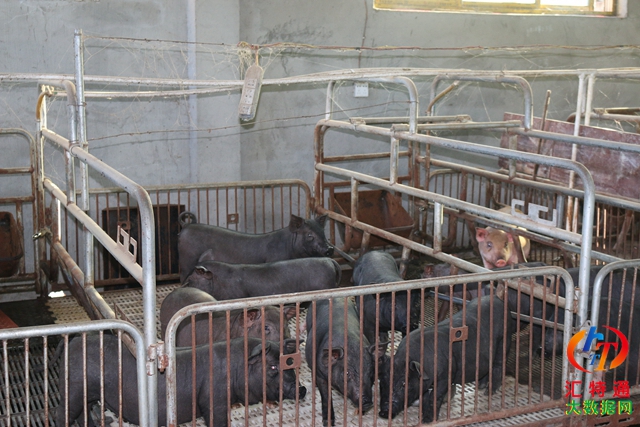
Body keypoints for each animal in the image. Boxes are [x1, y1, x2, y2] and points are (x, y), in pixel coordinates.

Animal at [55, 334, 305, 427]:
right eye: (272, 367)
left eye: (291, 364)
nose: (301, 388)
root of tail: (72, 341)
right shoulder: (214, 400)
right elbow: (216, 418)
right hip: (74, 386)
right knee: (64, 412)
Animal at [305, 297, 387, 426]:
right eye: (347, 373)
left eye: (371, 373)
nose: (367, 401)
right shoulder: (320, 373)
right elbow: (326, 396)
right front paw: (328, 423)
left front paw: (360, 413)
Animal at [379, 294, 514, 423]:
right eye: (383, 381)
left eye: (404, 383)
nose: (384, 412)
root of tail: (498, 299)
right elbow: (425, 397)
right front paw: (420, 416)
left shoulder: (446, 375)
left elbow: (435, 397)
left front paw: (427, 420)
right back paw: (480, 386)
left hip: (505, 338)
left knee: (498, 364)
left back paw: (489, 392)